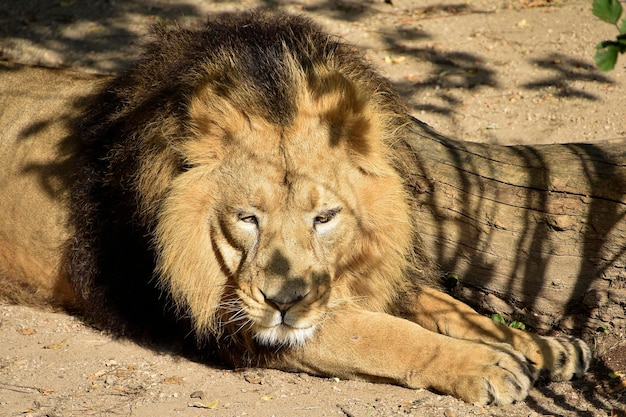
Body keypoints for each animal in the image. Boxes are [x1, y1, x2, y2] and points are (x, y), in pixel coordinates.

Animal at [0, 12, 588, 404]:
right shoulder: (236, 323)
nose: (284, 301)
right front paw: (488, 364)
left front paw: (545, 348)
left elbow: (450, 306)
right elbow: (379, 334)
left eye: (324, 218)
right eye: (247, 219)